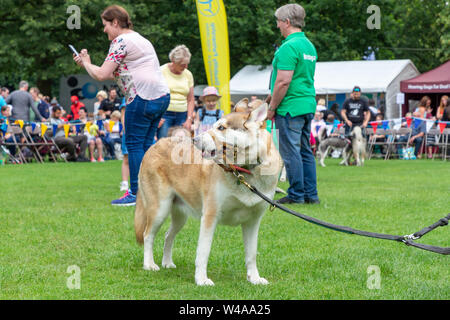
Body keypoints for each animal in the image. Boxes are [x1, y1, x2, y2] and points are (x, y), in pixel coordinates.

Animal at [134, 98, 282, 284]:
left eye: (221, 128)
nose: (194, 139)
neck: (245, 172)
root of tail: (155, 144)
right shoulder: (210, 216)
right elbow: (203, 252)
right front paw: (201, 279)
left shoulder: (253, 221)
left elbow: (252, 254)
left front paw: (254, 278)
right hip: (160, 209)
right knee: (148, 235)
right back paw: (149, 264)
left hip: (180, 215)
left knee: (168, 235)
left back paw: (167, 262)